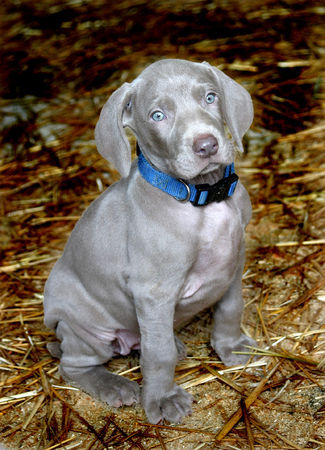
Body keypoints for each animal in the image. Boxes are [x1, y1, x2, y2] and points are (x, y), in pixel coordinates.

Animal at [43, 58, 256, 424]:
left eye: (210, 97)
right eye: (158, 115)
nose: (207, 146)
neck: (203, 197)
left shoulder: (235, 261)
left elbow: (230, 307)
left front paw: (231, 347)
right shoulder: (154, 291)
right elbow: (158, 354)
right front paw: (162, 399)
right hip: (86, 328)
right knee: (73, 366)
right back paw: (115, 386)